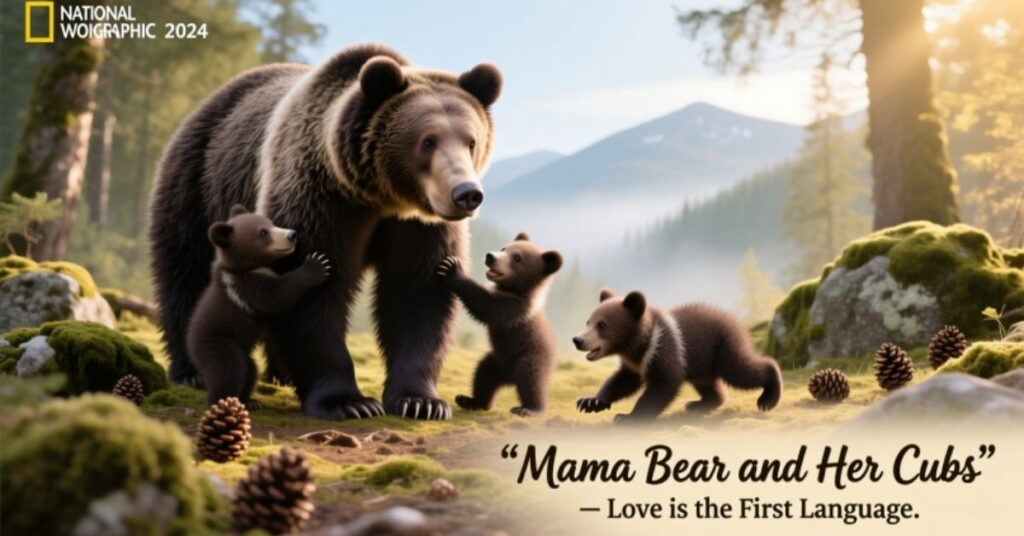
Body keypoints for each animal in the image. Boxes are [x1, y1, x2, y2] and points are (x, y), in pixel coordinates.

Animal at [186, 205, 331, 409]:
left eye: (271, 223)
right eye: (263, 233)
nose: (292, 234)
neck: (249, 267)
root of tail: (190, 344)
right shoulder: (247, 287)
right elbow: (278, 295)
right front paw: (317, 264)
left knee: (250, 370)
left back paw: (249, 401)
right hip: (217, 342)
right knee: (228, 370)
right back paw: (222, 402)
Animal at [435, 232, 562, 417]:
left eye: (517, 258)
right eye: (504, 248)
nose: (491, 256)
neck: (514, 290)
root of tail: (510, 379)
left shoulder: (514, 309)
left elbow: (485, 305)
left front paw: (452, 269)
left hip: (530, 356)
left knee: (531, 379)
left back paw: (529, 409)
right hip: (496, 361)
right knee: (482, 375)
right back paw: (470, 400)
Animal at [572, 289, 782, 422]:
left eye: (602, 325)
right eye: (588, 321)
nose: (578, 340)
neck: (638, 345)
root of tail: (733, 320)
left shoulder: (663, 349)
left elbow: (663, 385)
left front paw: (627, 417)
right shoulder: (634, 364)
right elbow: (622, 381)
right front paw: (590, 402)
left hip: (722, 346)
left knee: (741, 370)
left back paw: (768, 397)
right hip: (702, 364)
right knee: (710, 384)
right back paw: (698, 404)